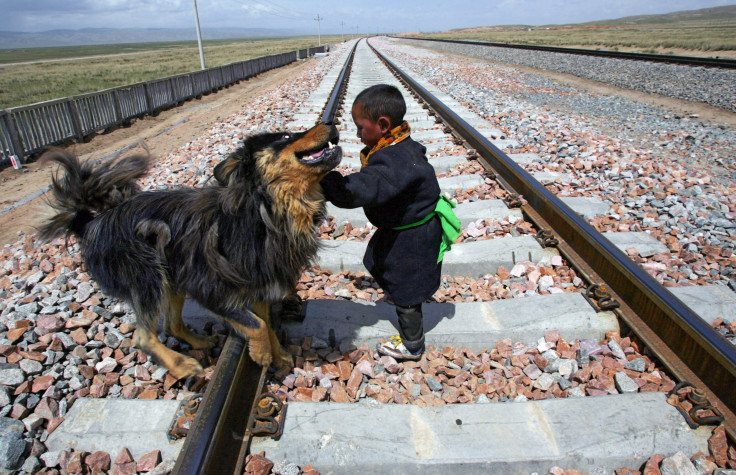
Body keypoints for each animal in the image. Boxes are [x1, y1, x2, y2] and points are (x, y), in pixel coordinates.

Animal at [38, 124, 342, 382]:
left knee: (172, 324)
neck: (266, 208)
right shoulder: (210, 286)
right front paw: (263, 353)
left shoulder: (260, 283)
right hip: (148, 271)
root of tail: (92, 222)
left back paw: (200, 343)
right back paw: (182, 365)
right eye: (286, 137)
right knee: (144, 337)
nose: (330, 123)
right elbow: (256, 324)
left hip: (172, 274)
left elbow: (266, 322)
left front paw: (278, 354)